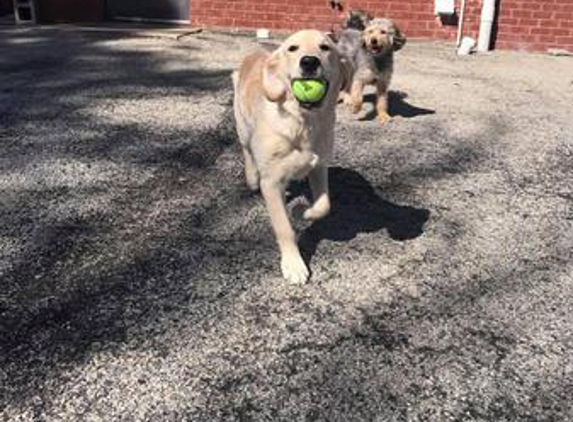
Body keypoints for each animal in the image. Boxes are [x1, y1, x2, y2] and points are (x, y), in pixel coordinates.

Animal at [231, 29, 348, 284]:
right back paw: (251, 176)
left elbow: (324, 205)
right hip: (242, 127)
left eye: (325, 47)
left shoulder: (319, 166)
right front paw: (294, 265)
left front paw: (303, 211)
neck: (303, 123)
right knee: (247, 152)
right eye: (292, 48)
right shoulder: (271, 182)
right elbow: (284, 228)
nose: (309, 62)